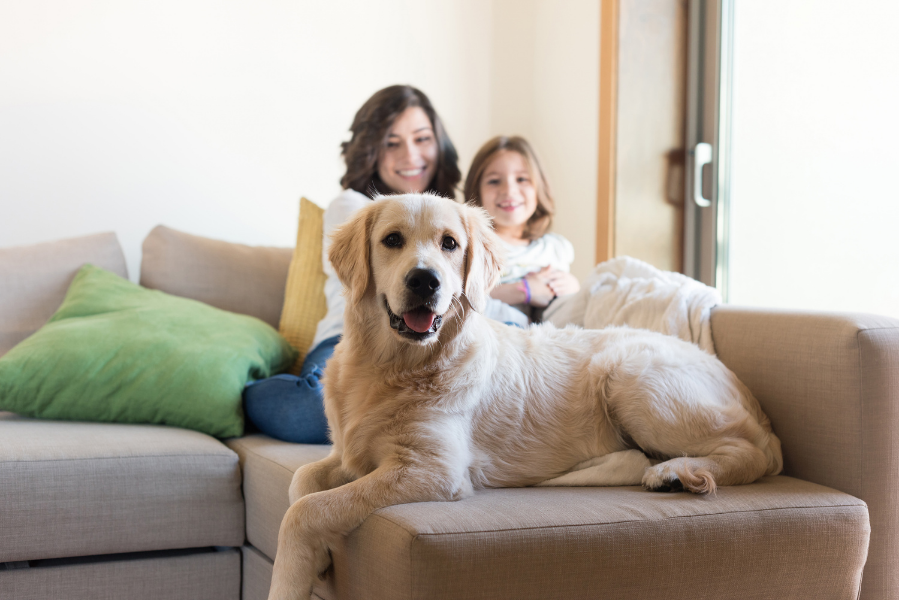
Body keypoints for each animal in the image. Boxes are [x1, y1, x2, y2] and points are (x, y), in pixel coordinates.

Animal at [268, 195, 780, 596]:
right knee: (637, 460)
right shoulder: (348, 452)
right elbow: (301, 483)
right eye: (392, 240)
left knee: (749, 451)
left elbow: (305, 511)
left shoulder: (433, 469)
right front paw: (321, 560)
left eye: (449, 244)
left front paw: (297, 571)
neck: (390, 366)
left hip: (632, 377)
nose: (425, 281)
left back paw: (678, 472)